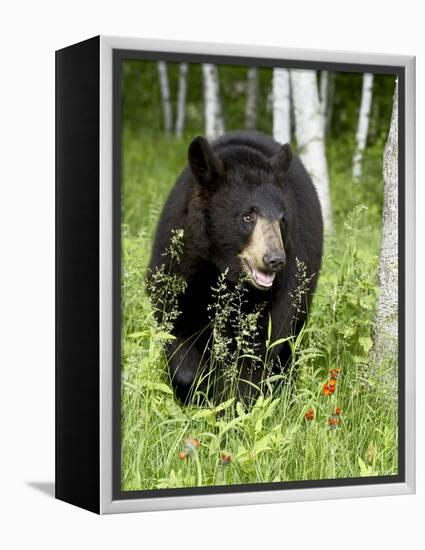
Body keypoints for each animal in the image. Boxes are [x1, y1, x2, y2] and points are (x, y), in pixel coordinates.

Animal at [147, 131, 322, 404]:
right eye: (248, 216)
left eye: (281, 220)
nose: (275, 259)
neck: (221, 269)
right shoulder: (180, 265)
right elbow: (175, 323)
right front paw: (193, 389)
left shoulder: (281, 289)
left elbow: (257, 350)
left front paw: (233, 402)